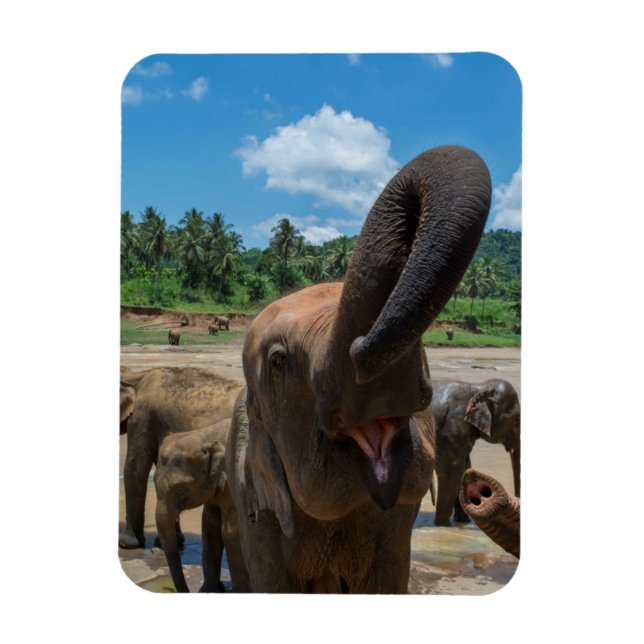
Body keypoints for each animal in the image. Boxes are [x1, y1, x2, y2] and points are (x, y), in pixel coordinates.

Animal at [154, 419, 250, 592]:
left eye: (179, 489)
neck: (205, 436)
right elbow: (210, 527)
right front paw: (210, 591)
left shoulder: (232, 481)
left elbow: (231, 531)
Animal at [432, 378, 520, 526]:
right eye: (517, 419)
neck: (479, 387)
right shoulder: (453, 425)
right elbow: (451, 470)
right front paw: (443, 525)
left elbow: (465, 467)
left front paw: (463, 521)